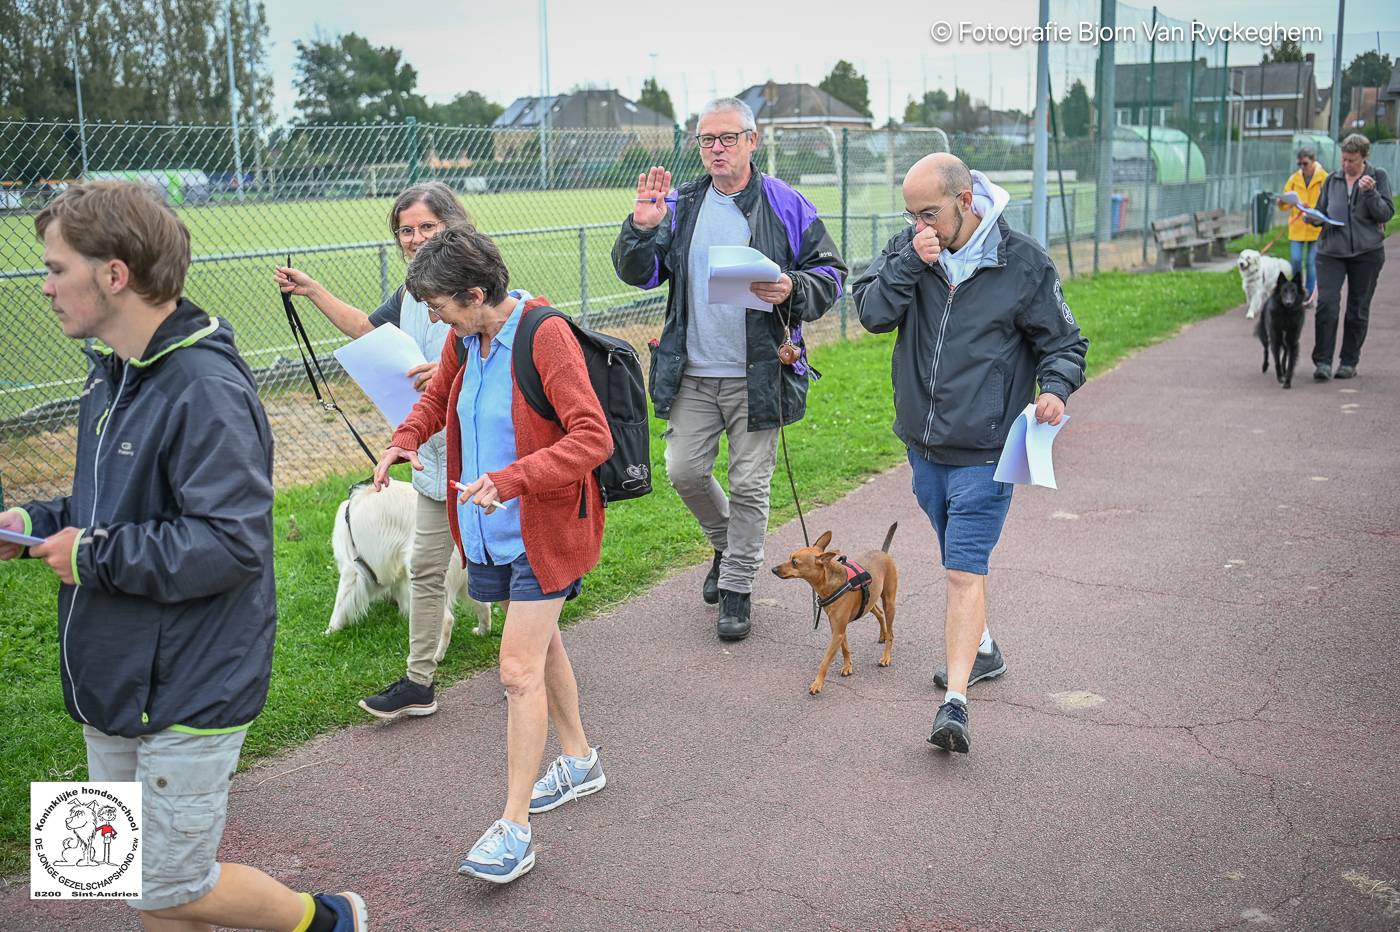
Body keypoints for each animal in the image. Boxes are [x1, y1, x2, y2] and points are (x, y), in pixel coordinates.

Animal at [323, 478, 492, 652]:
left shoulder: (351, 570)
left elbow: (339, 606)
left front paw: (329, 631)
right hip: (464, 582)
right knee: (485, 605)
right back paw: (482, 632)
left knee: (447, 620)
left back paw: (436, 654)